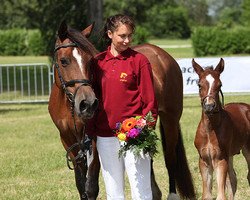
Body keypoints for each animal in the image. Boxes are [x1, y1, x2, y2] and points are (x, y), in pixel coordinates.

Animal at [48, 21, 195, 199]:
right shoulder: (69, 142)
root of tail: (162, 54)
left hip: (170, 120)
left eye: (90, 62)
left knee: (170, 157)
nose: (88, 103)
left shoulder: (93, 141)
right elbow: (81, 186)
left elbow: (91, 187)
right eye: (63, 61)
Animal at [192, 58, 249, 200]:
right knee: (232, 179)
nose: (209, 106)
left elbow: (221, 195)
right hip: (230, 155)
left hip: (247, 150)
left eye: (220, 85)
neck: (210, 129)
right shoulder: (204, 160)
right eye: (199, 85)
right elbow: (207, 195)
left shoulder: (220, 159)